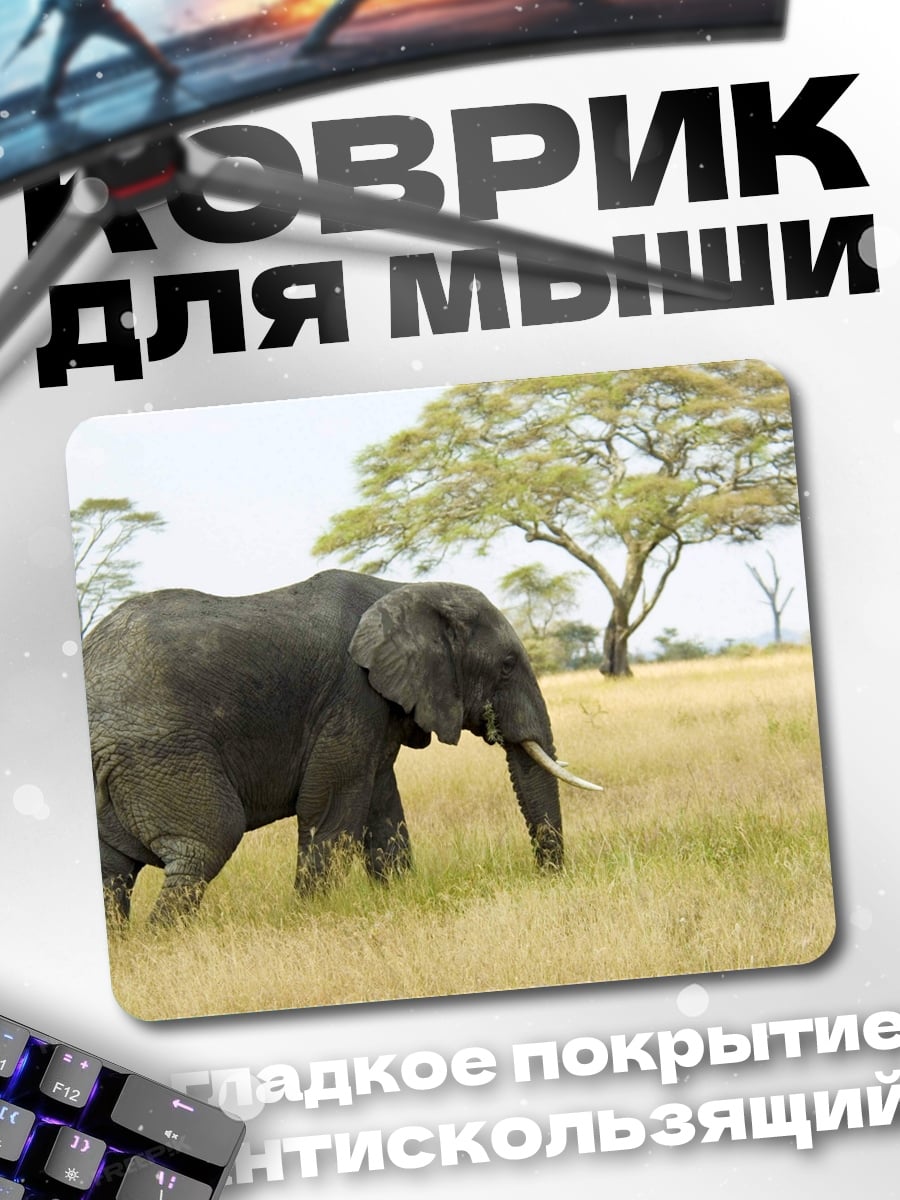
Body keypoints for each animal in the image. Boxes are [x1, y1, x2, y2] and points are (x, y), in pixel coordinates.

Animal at [83, 569, 601, 923]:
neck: (405, 589)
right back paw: (163, 940)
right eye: (508, 666)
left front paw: (399, 897)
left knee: (113, 868)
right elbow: (332, 810)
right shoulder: (352, 696)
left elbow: (382, 809)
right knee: (205, 844)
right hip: (159, 753)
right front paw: (310, 917)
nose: (549, 879)